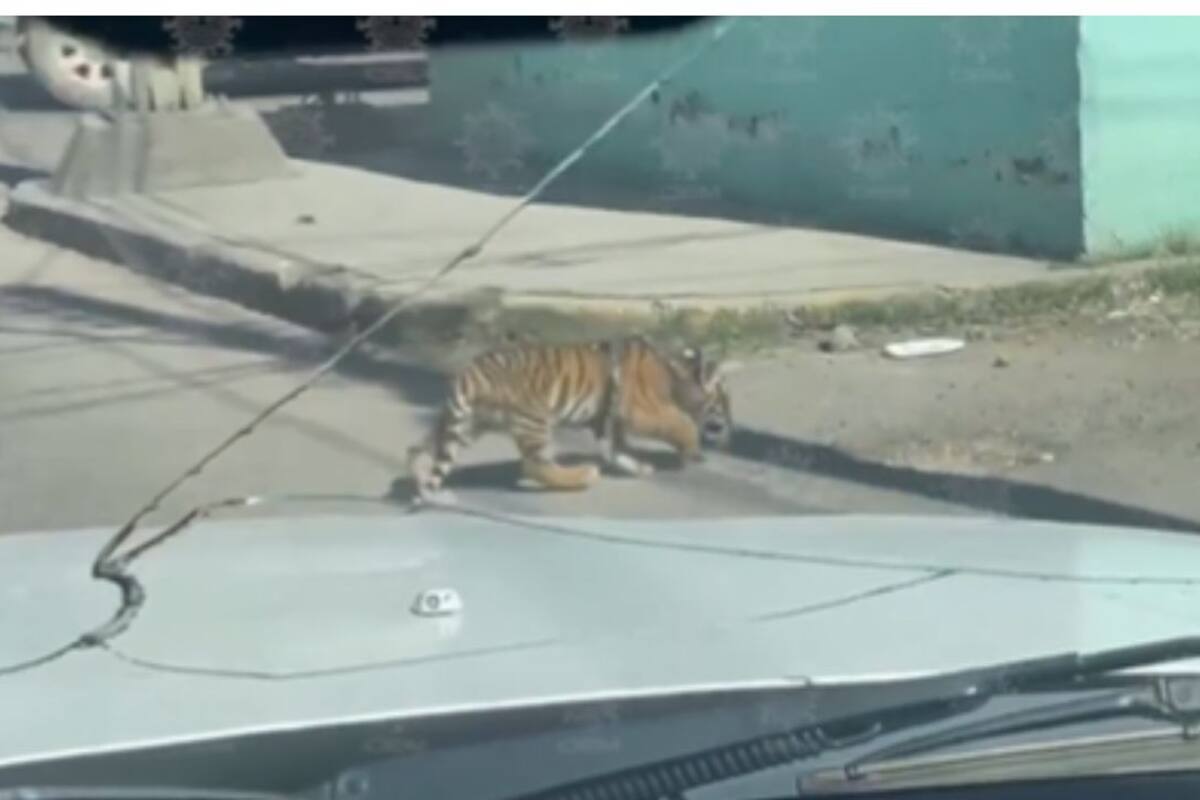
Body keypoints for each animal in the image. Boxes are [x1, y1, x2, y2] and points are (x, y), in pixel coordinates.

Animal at [406, 335, 738, 500]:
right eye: (725, 402)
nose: (732, 428)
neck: (675, 375)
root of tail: (469, 373)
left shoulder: (609, 422)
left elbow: (617, 450)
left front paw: (639, 467)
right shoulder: (644, 410)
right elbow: (681, 422)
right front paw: (693, 450)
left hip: (469, 423)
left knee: (424, 446)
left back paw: (418, 473)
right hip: (534, 418)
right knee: (536, 465)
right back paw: (582, 475)